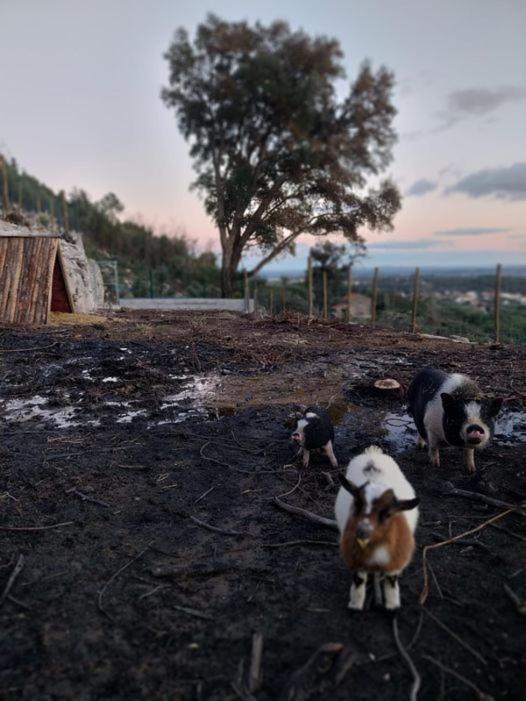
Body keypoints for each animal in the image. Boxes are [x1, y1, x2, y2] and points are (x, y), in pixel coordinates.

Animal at [338, 446, 420, 608]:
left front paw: (392, 605)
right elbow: (359, 579)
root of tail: (372, 454)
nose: (362, 532)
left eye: (387, 514)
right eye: (357, 505)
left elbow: (391, 580)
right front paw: (355, 604)